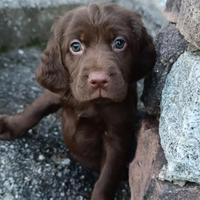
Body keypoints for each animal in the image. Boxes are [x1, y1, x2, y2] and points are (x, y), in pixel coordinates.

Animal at [0, 3, 156, 200]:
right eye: (76, 46)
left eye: (119, 43)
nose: (99, 80)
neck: (92, 103)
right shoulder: (58, 92)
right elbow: (34, 110)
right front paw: (8, 126)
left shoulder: (116, 136)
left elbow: (106, 179)